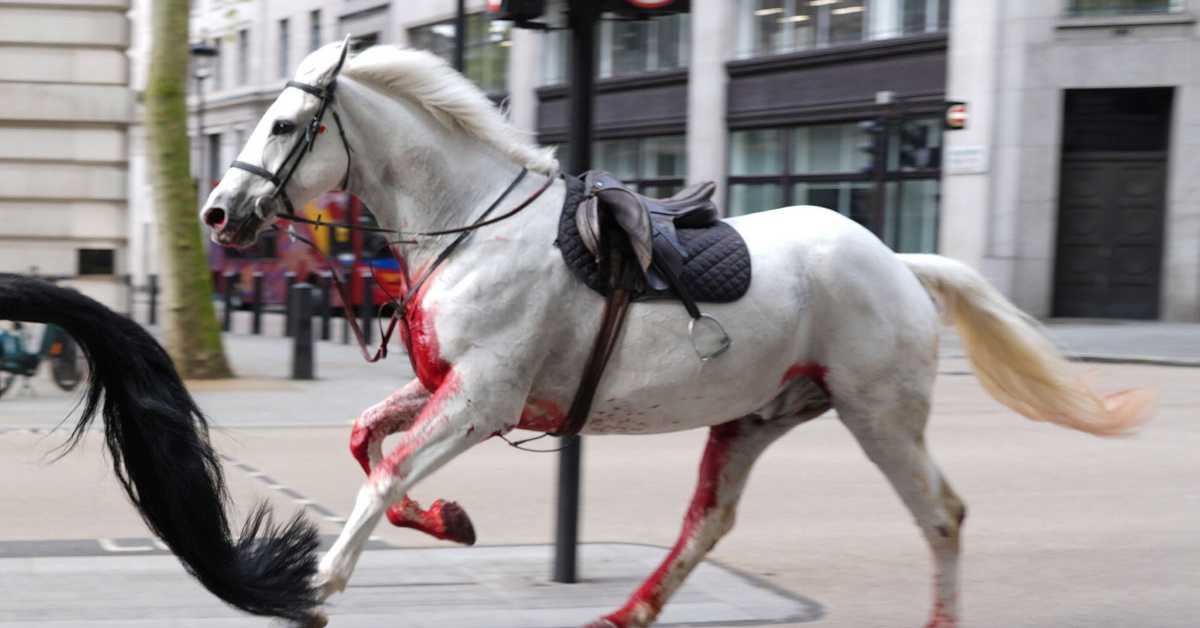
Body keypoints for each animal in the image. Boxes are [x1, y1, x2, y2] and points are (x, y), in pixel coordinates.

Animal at [201, 41, 1156, 624]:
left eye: (284, 124)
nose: (217, 212)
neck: (473, 227)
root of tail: (897, 260)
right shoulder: (449, 388)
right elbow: (368, 443)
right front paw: (451, 519)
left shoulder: (482, 398)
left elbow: (387, 471)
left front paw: (319, 584)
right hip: (757, 417)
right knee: (710, 520)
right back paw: (630, 610)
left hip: (879, 414)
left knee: (943, 516)